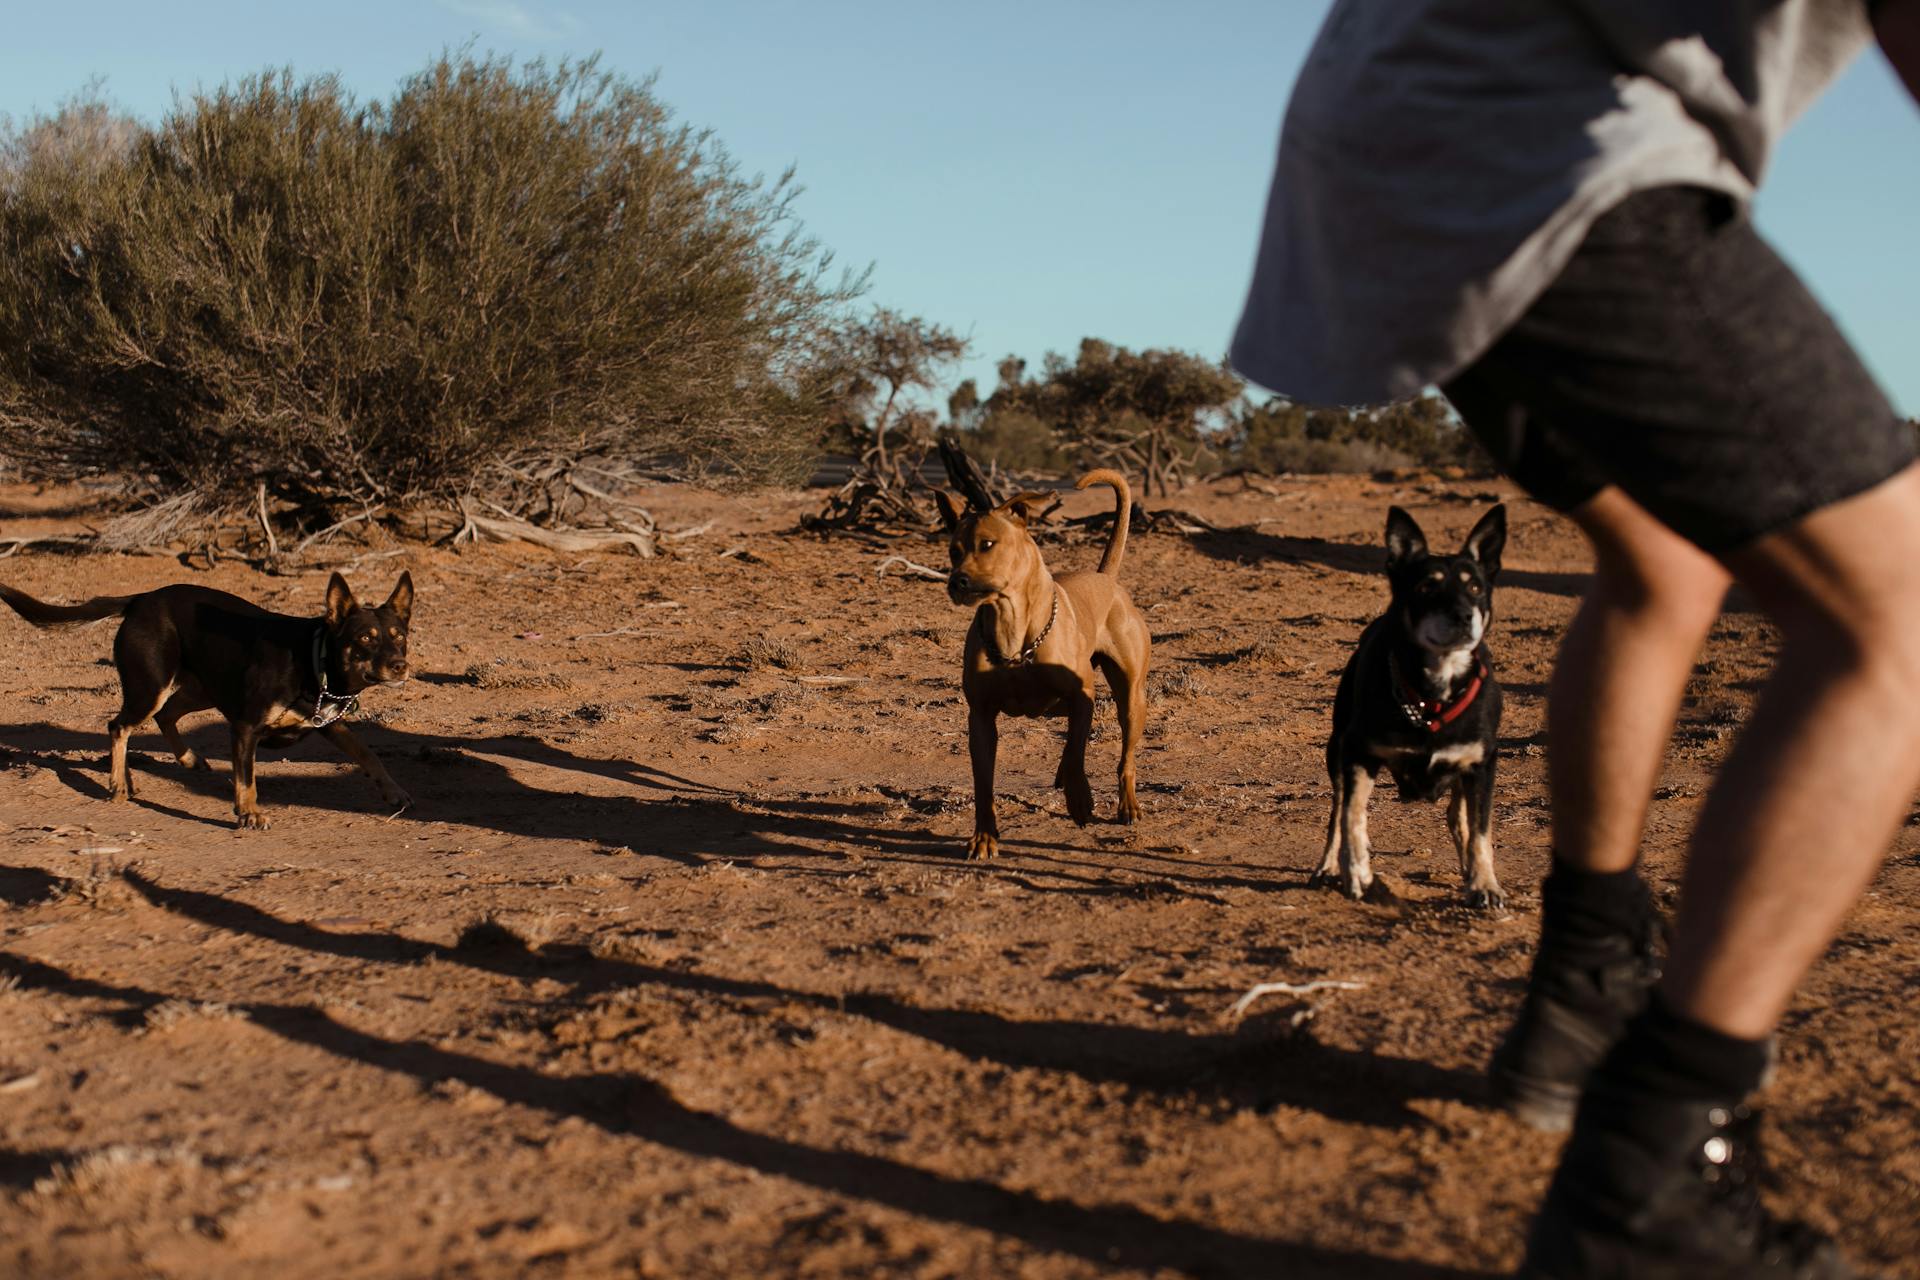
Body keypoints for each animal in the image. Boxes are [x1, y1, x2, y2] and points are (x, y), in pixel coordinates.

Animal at [1, 571, 414, 832]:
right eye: (365, 638)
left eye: (400, 636)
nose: (400, 665)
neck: (315, 660)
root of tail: (141, 599)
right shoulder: (245, 727)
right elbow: (247, 778)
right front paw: (248, 814)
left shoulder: (330, 723)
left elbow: (367, 753)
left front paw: (393, 790)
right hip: (151, 686)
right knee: (119, 726)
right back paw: (118, 785)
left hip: (200, 688)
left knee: (165, 715)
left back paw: (186, 759)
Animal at [933, 470, 1144, 859]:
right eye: (954, 551)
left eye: (987, 544)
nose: (957, 581)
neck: (1011, 626)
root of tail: (1106, 578)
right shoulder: (981, 717)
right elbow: (983, 785)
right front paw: (983, 837)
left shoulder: (1082, 695)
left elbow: (1076, 752)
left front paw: (1080, 799)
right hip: (1054, 707)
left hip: (1131, 700)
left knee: (1124, 756)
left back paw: (1127, 805)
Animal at [1328, 506, 1505, 905]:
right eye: (1426, 587)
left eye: (1475, 588)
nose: (1463, 616)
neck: (1433, 696)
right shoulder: (1357, 751)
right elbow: (1352, 815)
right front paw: (1357, 870)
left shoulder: (1482, 765)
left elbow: (1481, 831)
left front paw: (1485, 884)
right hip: (1335, 747)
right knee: (1336, 810)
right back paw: (1328, 865)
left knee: (1459, 818)